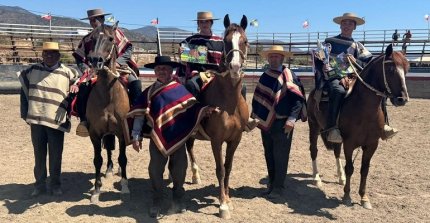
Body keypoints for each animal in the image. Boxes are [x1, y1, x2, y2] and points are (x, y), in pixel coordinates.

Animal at [83, 22, 130, 202]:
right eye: (91, 39)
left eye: (111, 38)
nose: (95, 60)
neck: (108, 96)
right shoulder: (95, 133)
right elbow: (98, 160)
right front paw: (96, 190)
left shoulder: (123, 132)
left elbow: (123, 158)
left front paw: (125, 185)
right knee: (109, 150)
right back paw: (109, 169)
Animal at [185, 13, 249, 218]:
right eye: (226, 42)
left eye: (245, 41)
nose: (235, 67)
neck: (229, 103)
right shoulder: (217, 140)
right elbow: (220, 169)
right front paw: (222, 205)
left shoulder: (235, 139)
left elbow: (228, 167)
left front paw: (228, 198)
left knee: (189, 147)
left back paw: (195, 175)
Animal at [308, 44, 408, 209]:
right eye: (391, 69)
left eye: (407, 69)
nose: (402, 99)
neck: (364, 109)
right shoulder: (349, 143)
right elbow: (350, 168)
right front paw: (347, 195)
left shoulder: (372, 144)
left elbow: (364, 170)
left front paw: (364, 197)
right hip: (313, 126)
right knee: (314, 150)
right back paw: (317, 178)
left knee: (336, 152)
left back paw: (340, 177)